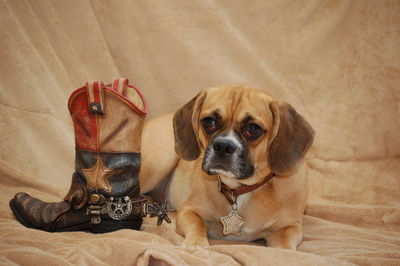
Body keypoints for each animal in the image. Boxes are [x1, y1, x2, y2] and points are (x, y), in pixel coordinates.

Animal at [139, 84, 314, 249]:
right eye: (209, 121)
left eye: (253, 128)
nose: (223, 146)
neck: (240, 190)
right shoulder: (188, 212)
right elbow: (198, 224)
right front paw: (195, 243)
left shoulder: (291, 228)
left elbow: (284, 246)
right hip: (159, 162)